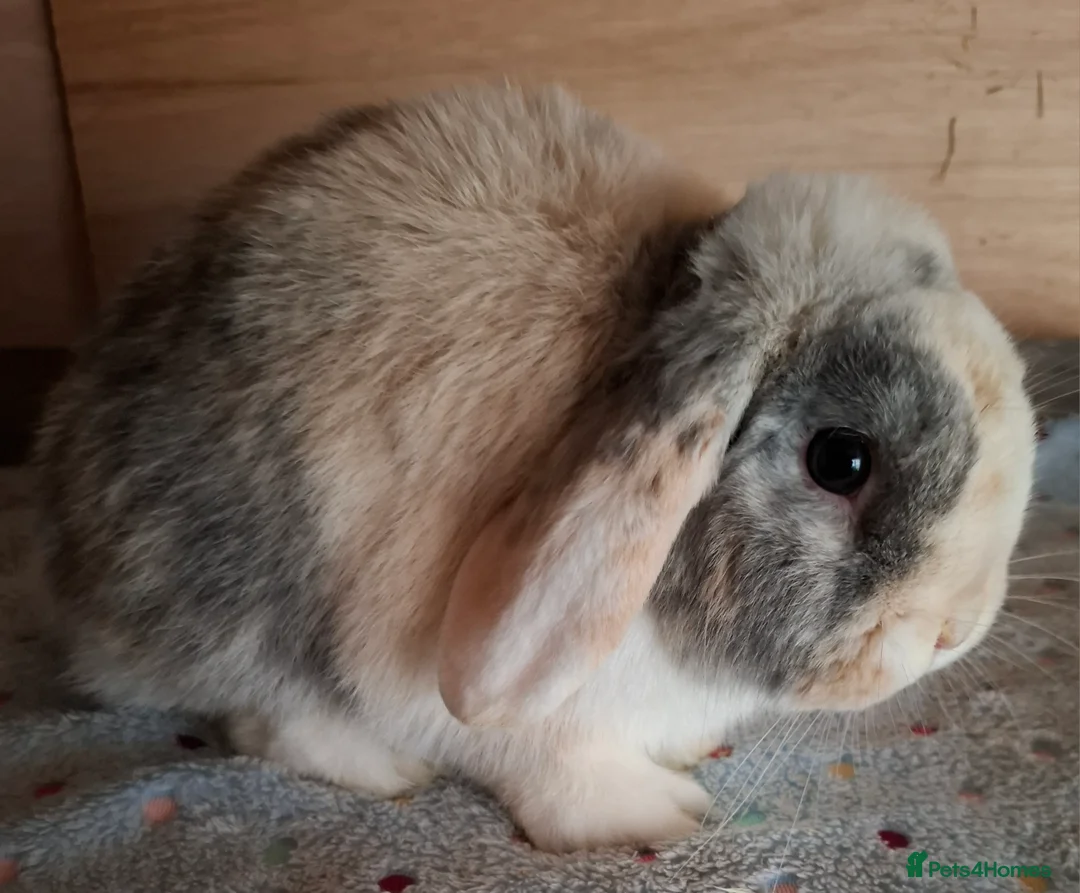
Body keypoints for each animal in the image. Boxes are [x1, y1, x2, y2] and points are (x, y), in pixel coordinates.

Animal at [34, 83, 1035, 852]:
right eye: (842, 459)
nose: (956, 628)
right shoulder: (499, 705)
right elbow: (556, 766)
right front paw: (656, 814)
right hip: (239, 587)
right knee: (258, 709)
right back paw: (384, 768)